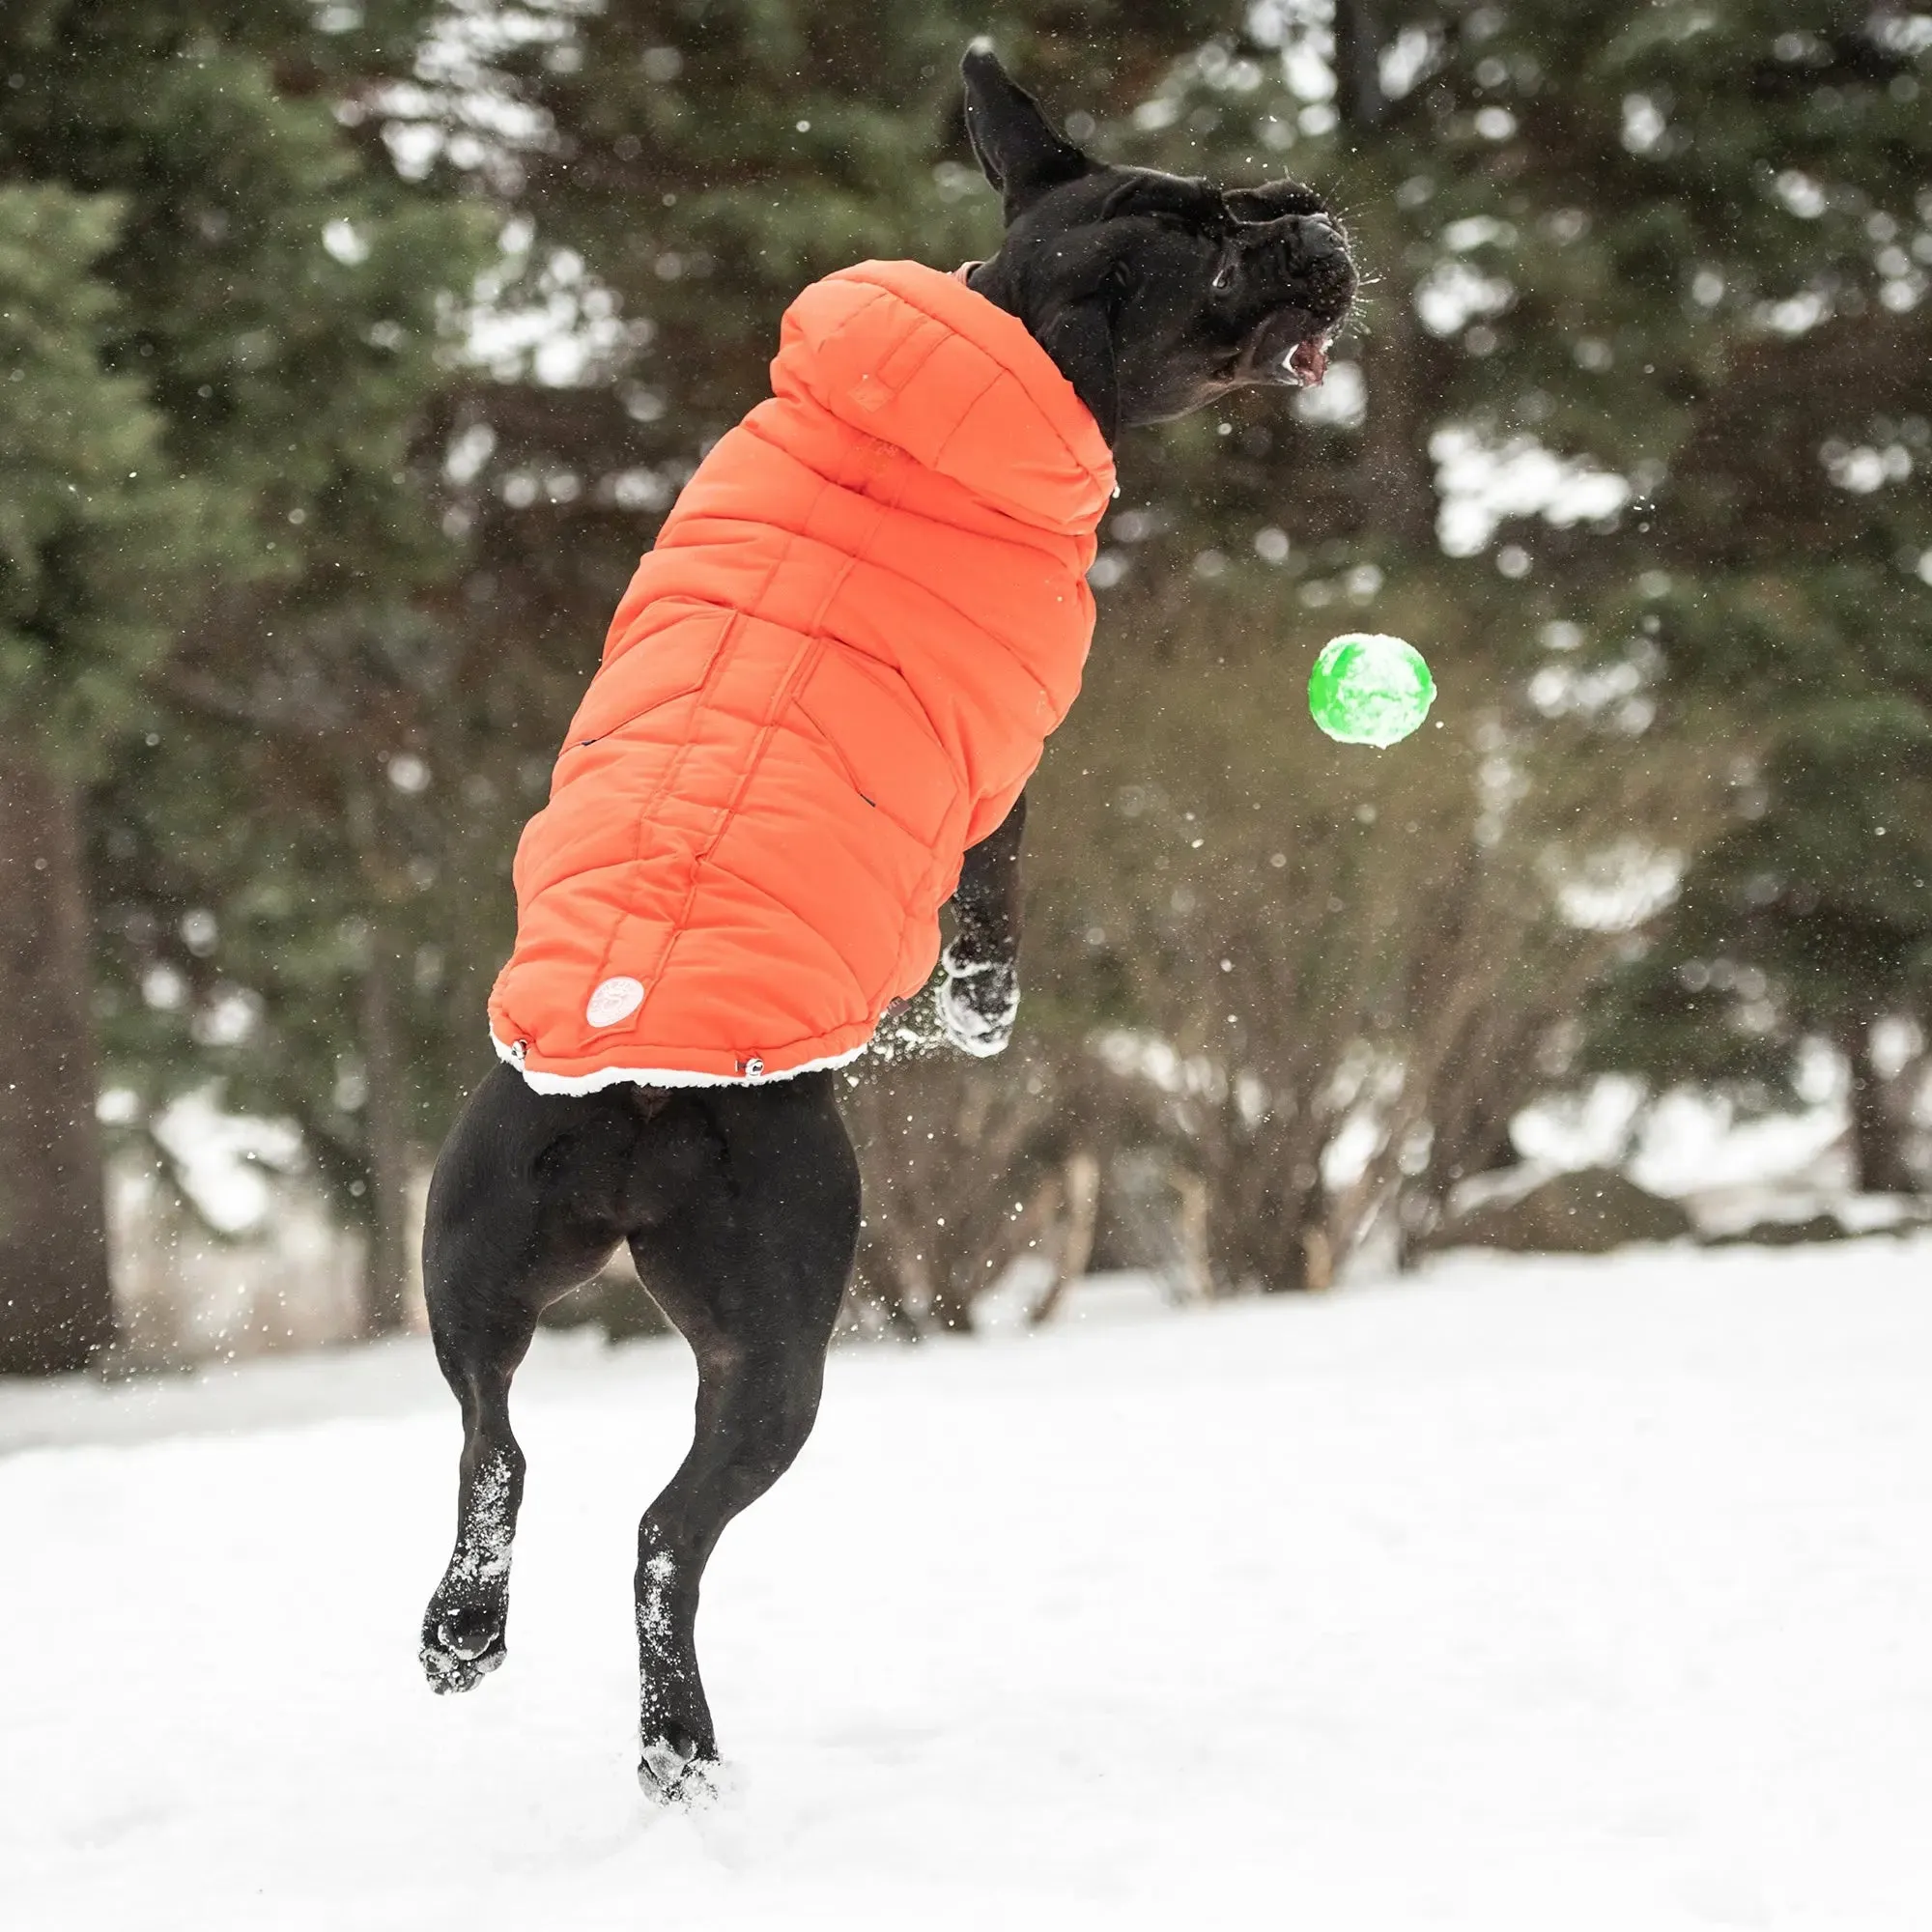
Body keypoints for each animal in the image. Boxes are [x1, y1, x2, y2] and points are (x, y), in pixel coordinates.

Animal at [423, 42, 1360, 1793]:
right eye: (1219, 255)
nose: (1312, 207)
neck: (996, 343)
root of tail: (626, 1072)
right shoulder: (1012, 766)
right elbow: (990, 919)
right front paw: (969, 1015)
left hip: (478, 1255)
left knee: (490, 1440)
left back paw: (465, 1631)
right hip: (779, 1323)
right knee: (663, 1533)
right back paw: (679, 1748)